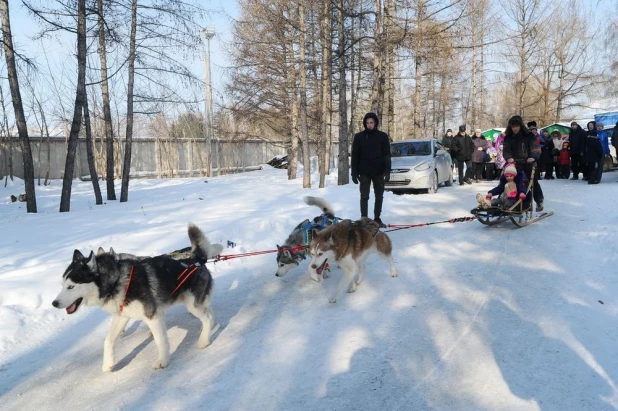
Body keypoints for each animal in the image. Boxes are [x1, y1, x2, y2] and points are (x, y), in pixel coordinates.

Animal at [52, 225, 221, 374]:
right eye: (62, 285)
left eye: (71, 287)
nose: (54, 303)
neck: (116, 280)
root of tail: (197, 258)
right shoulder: (121, 316)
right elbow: (108, 341)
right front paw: (108, 364)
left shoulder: (152, 316)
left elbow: (161, 340)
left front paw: (163, 361)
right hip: (195, 302)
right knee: (209, 313)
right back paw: (209, 327)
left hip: (192, 304)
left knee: (206, 317)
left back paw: (204, 340)